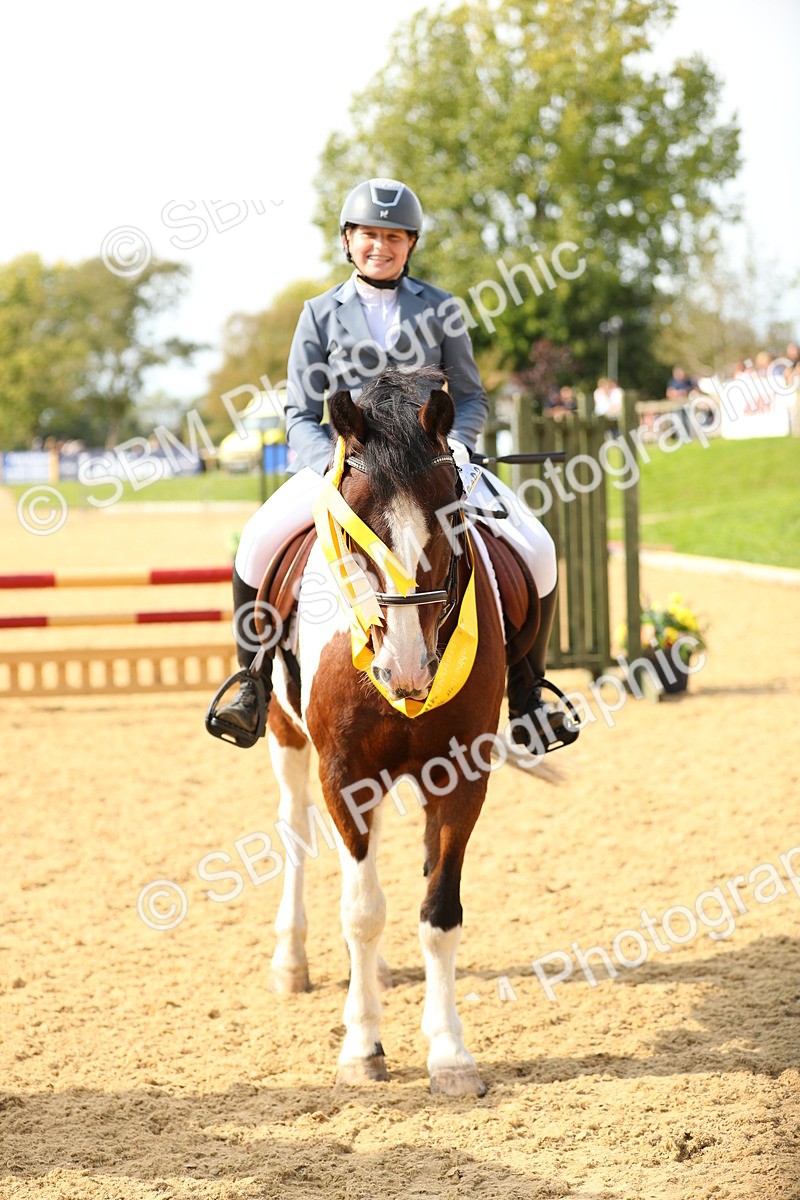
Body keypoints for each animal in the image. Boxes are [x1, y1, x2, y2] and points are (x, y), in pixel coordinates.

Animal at [264, 366, 508, 1097]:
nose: (405, 669)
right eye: (355, 528)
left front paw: (450, 1054)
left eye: (451, 518)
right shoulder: (344, 774)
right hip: (286, 739)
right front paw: (362, 1046)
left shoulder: (462, 775)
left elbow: (439, 913)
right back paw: (292, 963)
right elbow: (363, 913)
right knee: (296, 831)